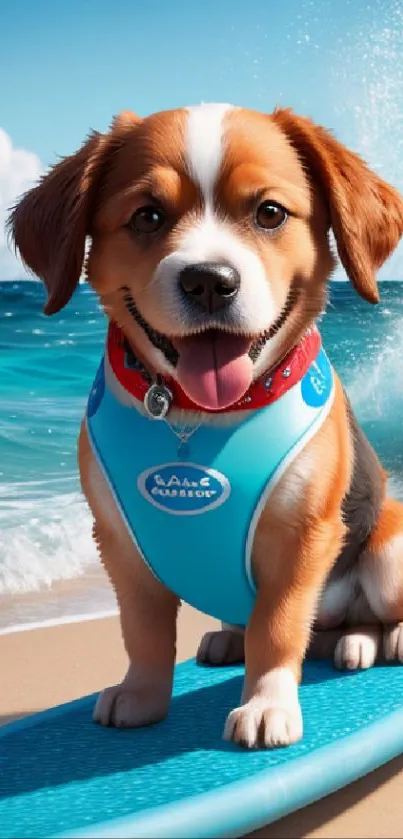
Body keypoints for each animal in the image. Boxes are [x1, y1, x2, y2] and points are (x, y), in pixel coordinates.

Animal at [7, 101, 403, 752]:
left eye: (270, 213)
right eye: (148, 215)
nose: (210, 282)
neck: (198, 419)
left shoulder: (301, 539)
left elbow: (279, 626)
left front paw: (267, 703)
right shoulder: (119, 544)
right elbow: (143, 632)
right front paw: (143, 696)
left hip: (389, 549)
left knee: (357, 617)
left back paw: (375, 639)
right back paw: (251, 639)